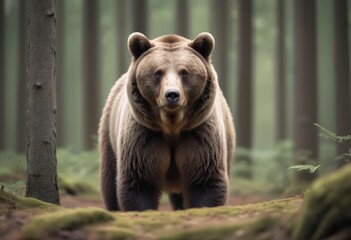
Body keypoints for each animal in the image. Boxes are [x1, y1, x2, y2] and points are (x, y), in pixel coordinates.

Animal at [99, 31, 236, 210]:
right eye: (158, 72)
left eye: (184, 72)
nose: (172, 94)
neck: (172, 125)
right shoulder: (144, 135)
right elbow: (140, 182)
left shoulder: (199, 133)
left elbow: (205, 182)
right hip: (110, 134)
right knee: (110, 182)